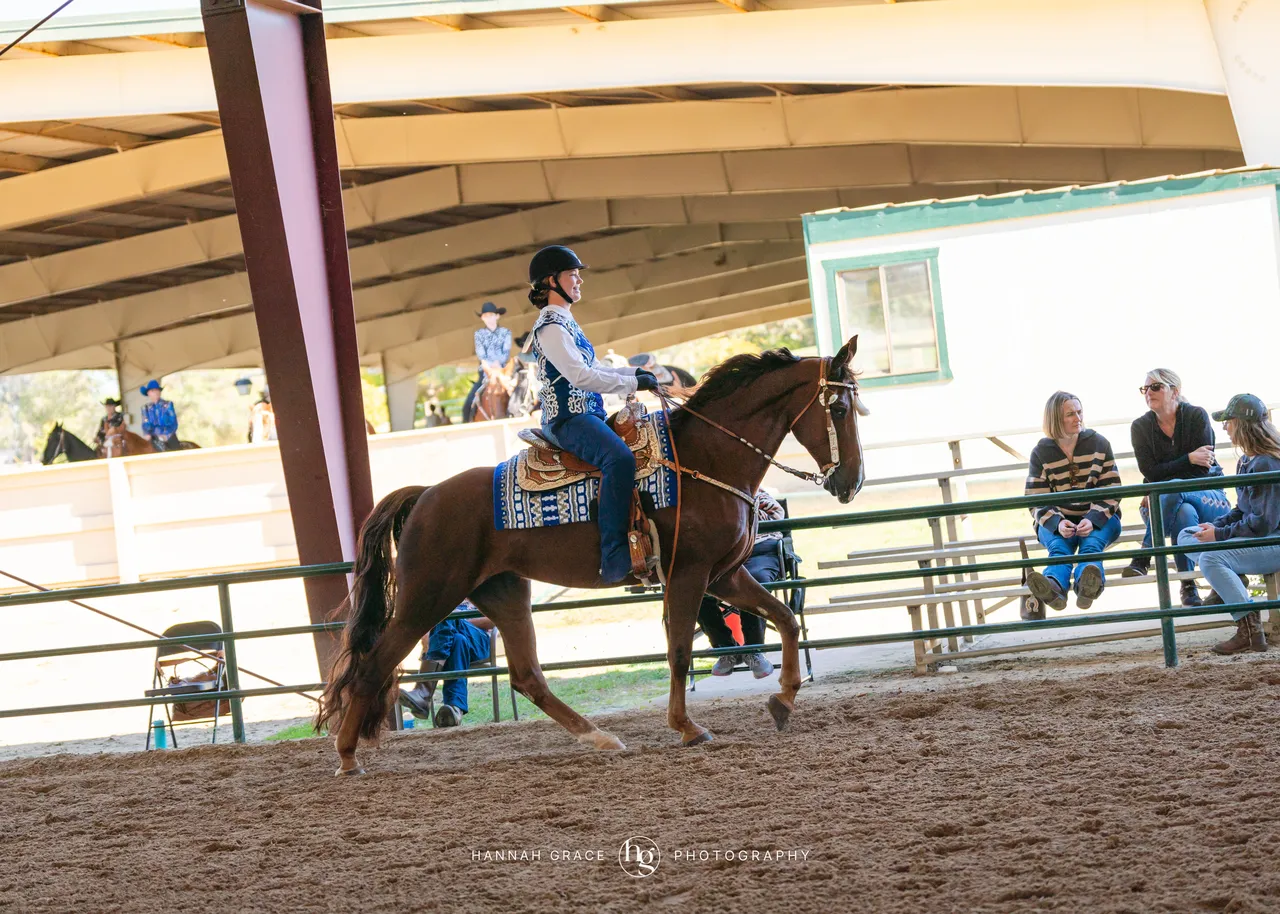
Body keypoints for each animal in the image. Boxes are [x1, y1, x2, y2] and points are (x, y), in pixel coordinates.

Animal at [318, 337, 864, 775]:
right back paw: (346, 758)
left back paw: (600, 737)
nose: (851, 482)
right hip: (427, 598)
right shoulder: (689, 574)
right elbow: (680, 650)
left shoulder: (724, 575)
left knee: (527, 676)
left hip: (503, 593)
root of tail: (425, 495)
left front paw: (784, 699)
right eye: (839, 409)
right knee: (372, 667)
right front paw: (687, 727)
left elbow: (784, 620)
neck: (704, 459)